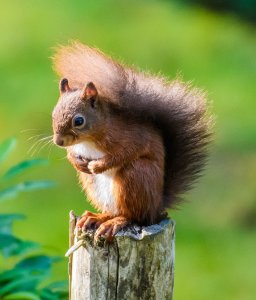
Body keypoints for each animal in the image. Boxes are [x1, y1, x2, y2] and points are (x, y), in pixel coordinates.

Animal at [51, 42, 213, 240]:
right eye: (53, 114)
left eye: (79, 121)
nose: (58, 141)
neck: (88, 140)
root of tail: (156, 209)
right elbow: (73, 153)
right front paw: (77, 162)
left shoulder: (131, 137)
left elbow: (126, 152)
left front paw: (98, 166)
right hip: (93, 184)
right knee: (114, 211)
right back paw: (97, 217)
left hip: (135, 177)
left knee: (133, 215)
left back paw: (115, 222)